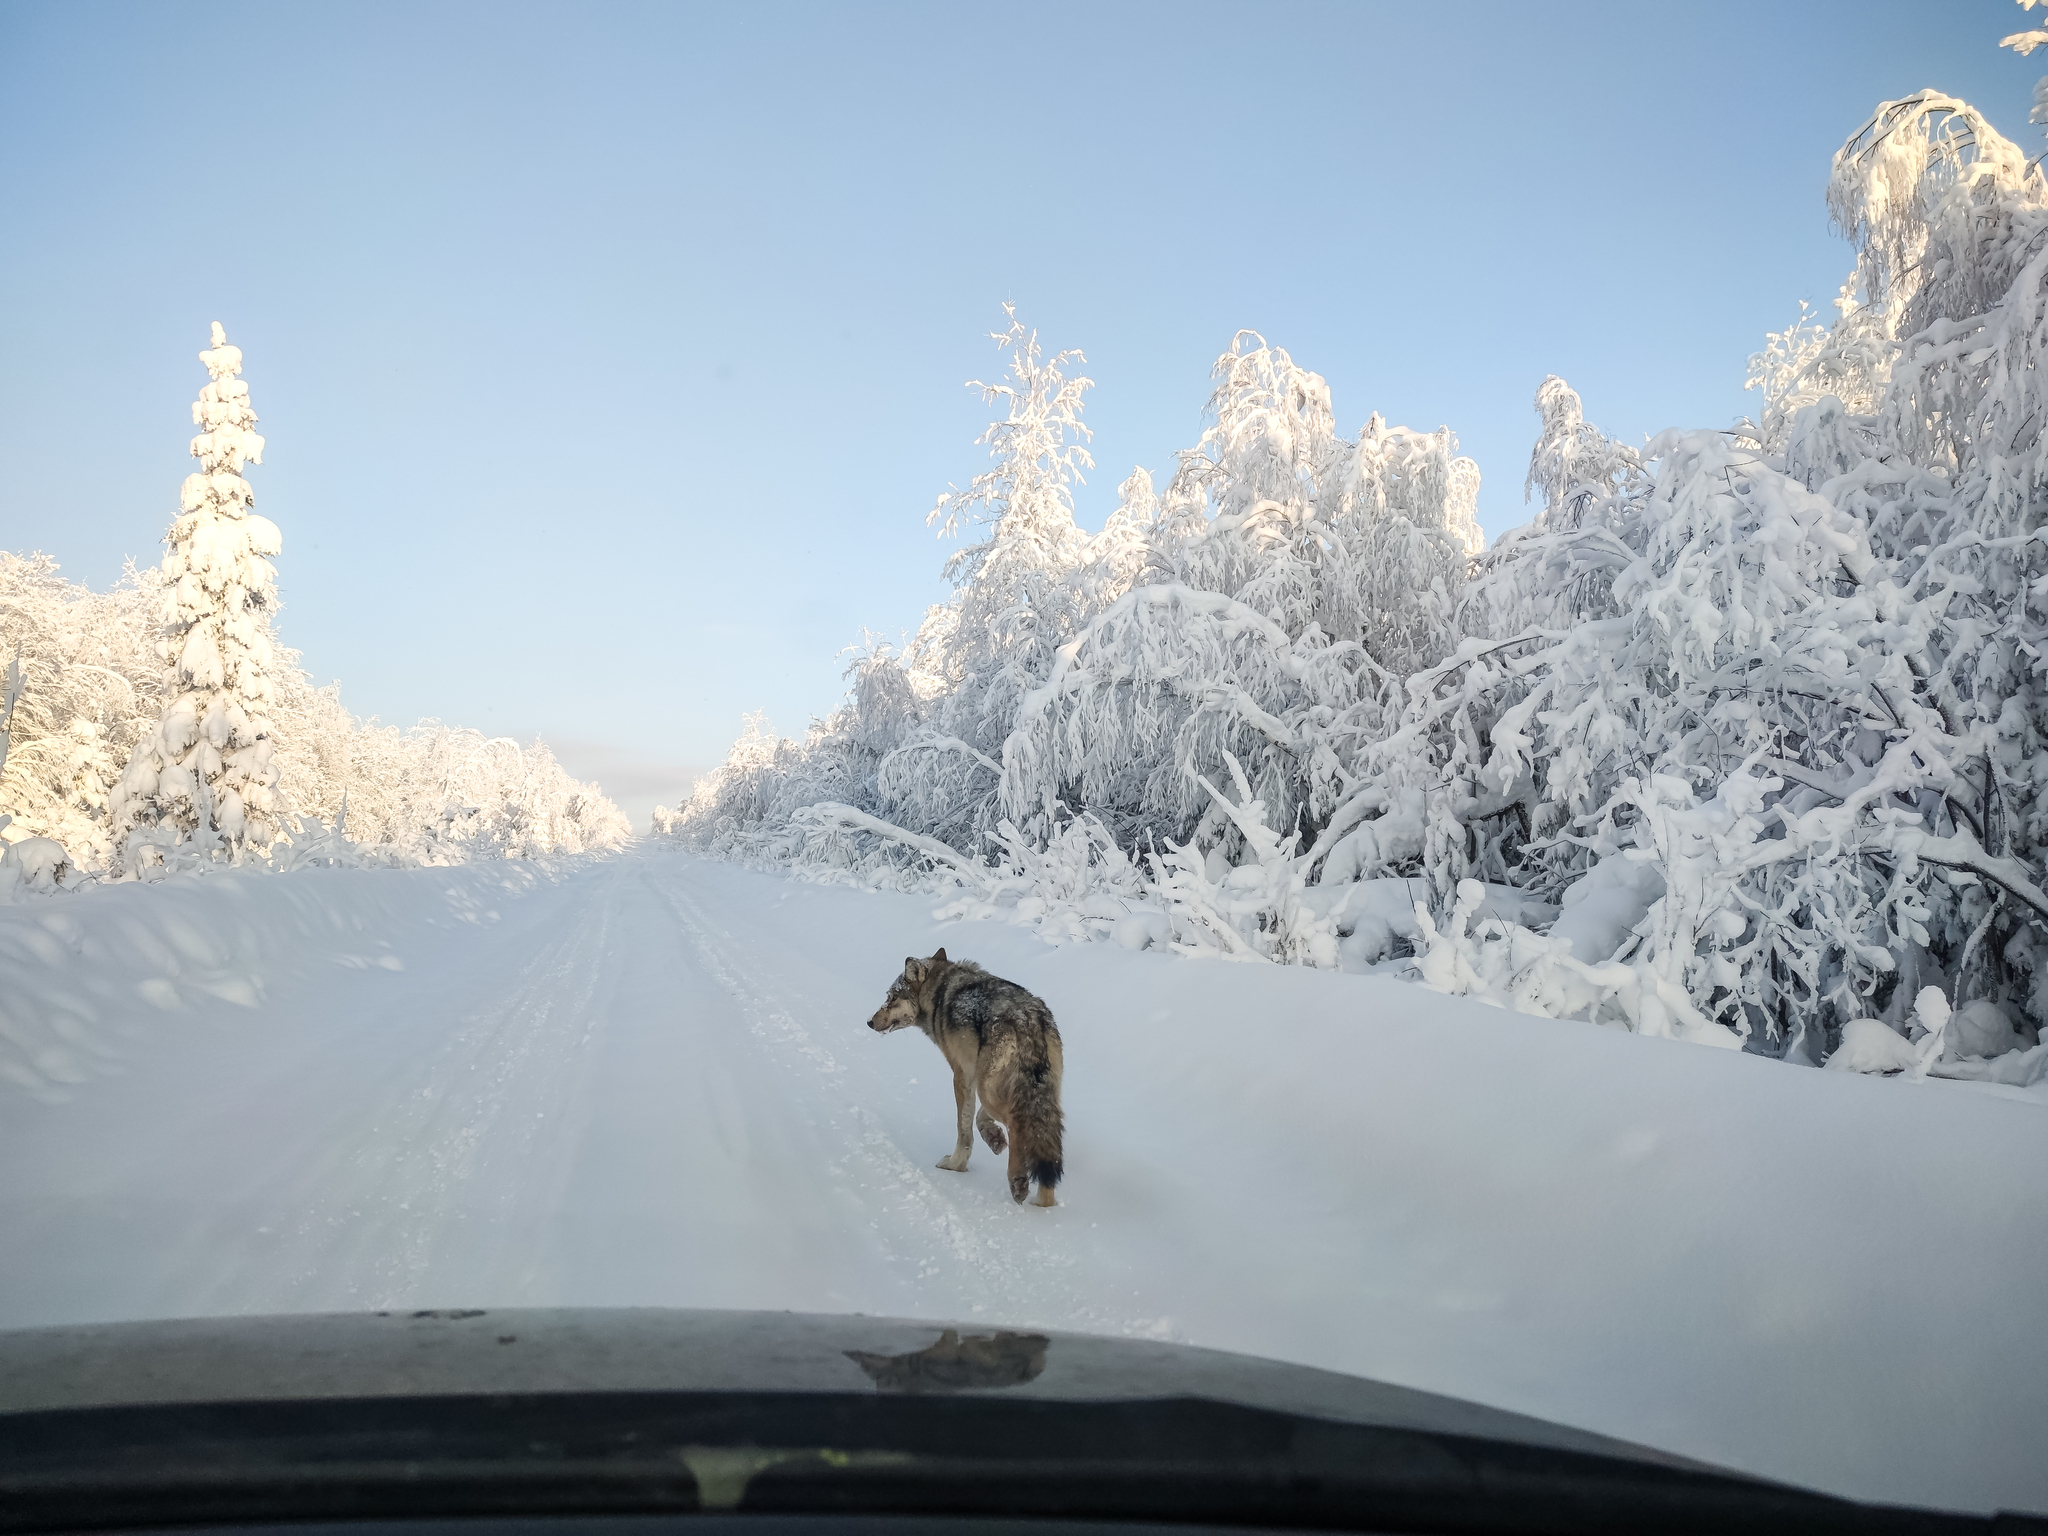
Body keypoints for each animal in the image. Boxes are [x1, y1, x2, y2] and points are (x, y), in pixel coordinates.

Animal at [864, 950, 1064, 1212]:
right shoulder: (978, 1079)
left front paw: (955, 1164)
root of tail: (1027, 1018)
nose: (869, 1021)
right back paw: (1044, 1202)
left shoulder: (962, 1076)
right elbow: (978, 1119)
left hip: (992, 1092)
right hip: (1039, 1096)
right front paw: (994, 1138)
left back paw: (1018, 1182)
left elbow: (964, 1128)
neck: (939, 993)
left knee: (1017, 1123)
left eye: (891, 997)